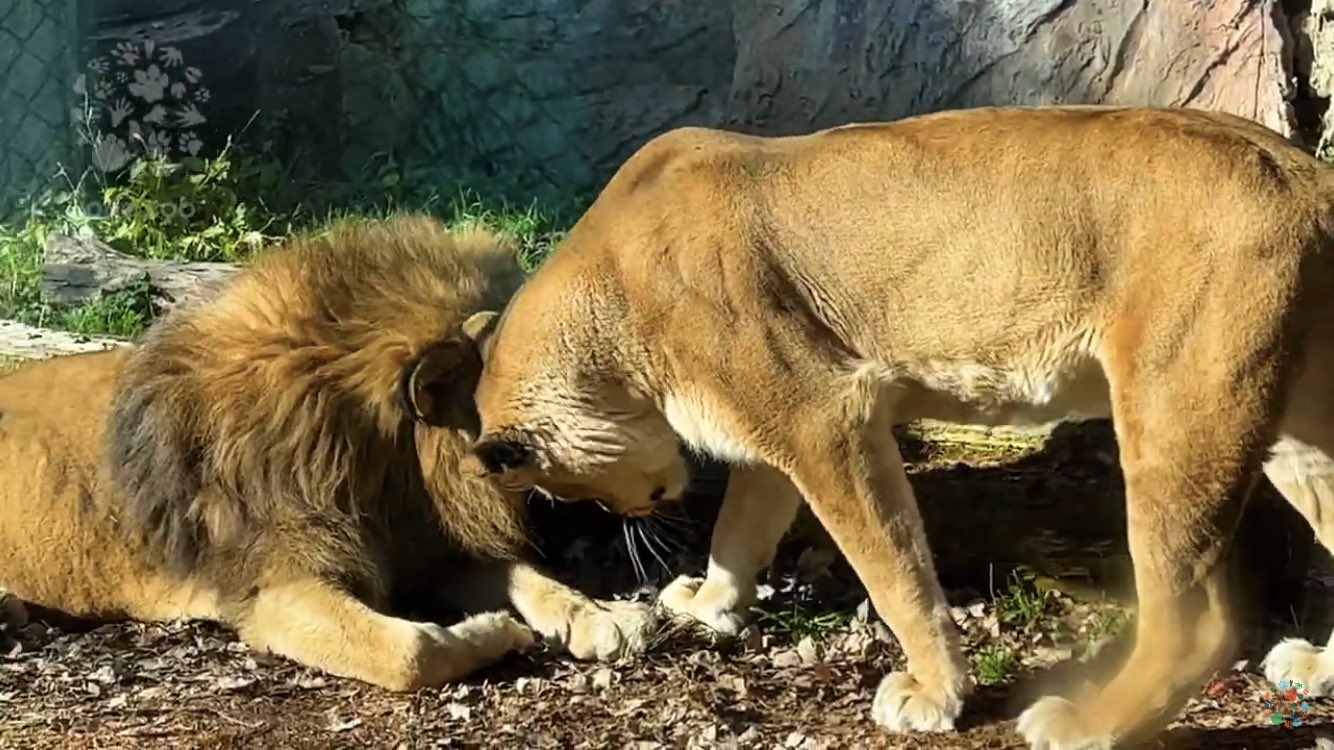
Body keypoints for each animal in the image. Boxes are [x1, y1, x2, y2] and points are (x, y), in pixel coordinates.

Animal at [0, 215, 656, 691]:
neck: (385, 468)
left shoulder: (429, 548)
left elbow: (532, 578)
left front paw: (600, 617)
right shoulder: (278, 589)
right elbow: (410, 653)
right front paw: (494, 632)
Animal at [450, 105, 1334, 748]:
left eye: (575, 490)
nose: (636, 512)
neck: (610, 307)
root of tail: (1308, 176)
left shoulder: (826, 415)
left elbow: (893, 570)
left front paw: (936, 694)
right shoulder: (775, 430)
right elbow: (741, 527)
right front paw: (710, 601)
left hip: (1177, 412)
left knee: (1195, 623)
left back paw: (1087, 723)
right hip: (1295, 424)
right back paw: (1318, 667)